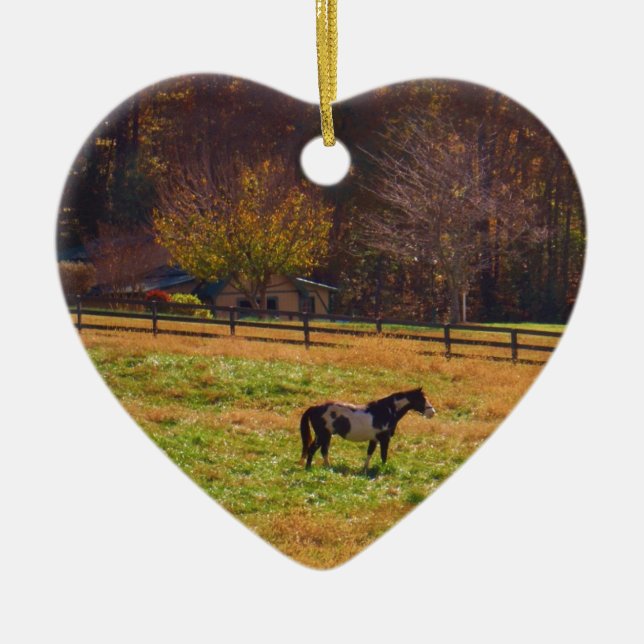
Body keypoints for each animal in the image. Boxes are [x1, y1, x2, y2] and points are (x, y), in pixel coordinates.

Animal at [299, 387, 436, 471]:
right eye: (422, 399)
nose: (432, 412)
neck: (386, 411)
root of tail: (314, 407)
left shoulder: (374, 439)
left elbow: (369, 453)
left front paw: (365, 469)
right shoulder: (384, 439)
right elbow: (383, 455)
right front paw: (383, 469)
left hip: (323, 436)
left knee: (319, 450)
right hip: (323, 435)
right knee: (316, 450)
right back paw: (316, 468)